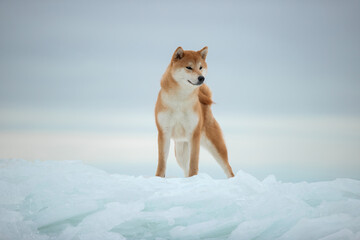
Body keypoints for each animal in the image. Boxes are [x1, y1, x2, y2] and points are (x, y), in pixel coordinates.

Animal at [154, 47, 233, 178]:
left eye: (200, 67)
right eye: (189, 67)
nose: (201, 78)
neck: (180, 100)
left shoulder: (194, 134)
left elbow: (194, 164)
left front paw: (194, 178)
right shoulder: (164, 132)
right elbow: (162, 163)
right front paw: (158, 178)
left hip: (215, 146)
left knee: (229, 169)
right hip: (180, 151)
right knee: (185, 169)